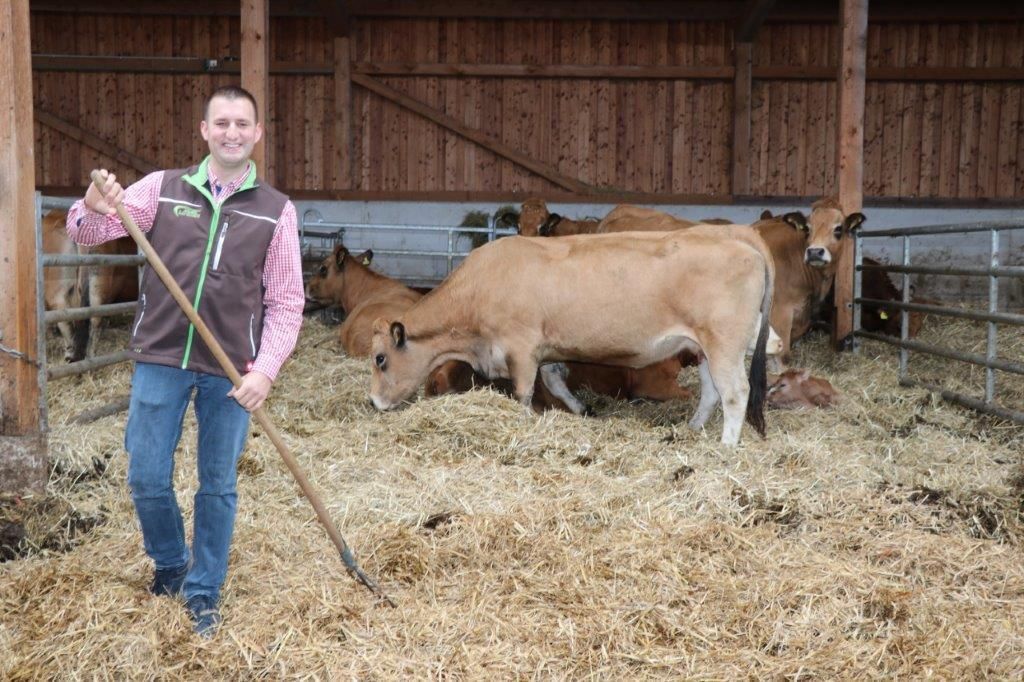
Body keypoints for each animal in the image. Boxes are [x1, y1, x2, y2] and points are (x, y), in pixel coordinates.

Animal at [368, 225, 774, 444]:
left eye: (380, 358)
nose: (373, 403)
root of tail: (736, 234)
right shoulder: (546, 348)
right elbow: (555, 380)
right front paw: (581, 409)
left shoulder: (521, 347)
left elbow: (523, 392)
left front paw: (525, 423)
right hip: (703, 345)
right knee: (711, 391)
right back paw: (692, 428)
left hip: (724, 343)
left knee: (735, 392)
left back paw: (726, 445)